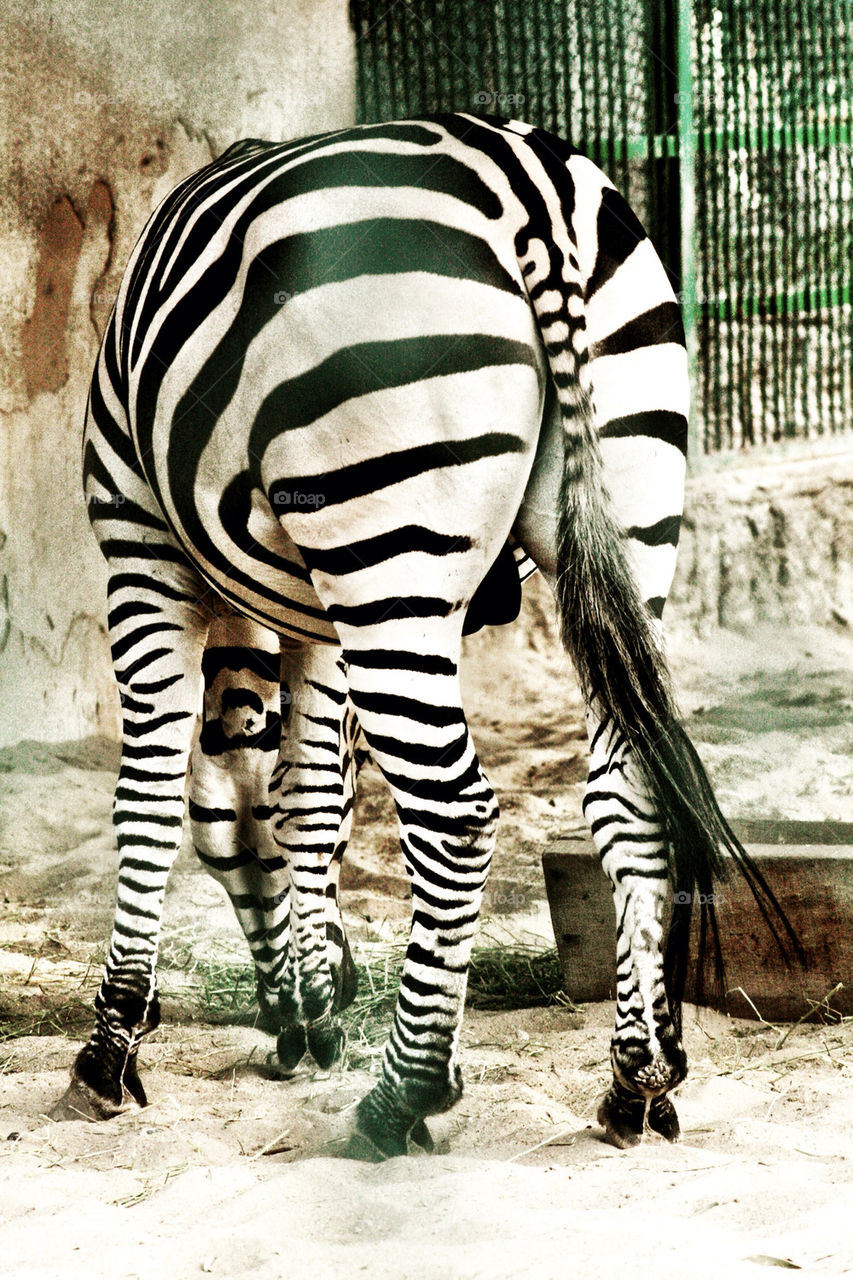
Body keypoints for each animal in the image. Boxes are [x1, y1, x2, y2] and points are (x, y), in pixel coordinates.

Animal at [53, 113, 798, 1157]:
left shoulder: (142, 549)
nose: (296, 1022)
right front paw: (315, 1000)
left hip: (385, 540)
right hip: (627, 497)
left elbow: (162, 800)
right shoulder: (313, 618)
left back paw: (403, 1095)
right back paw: (635, 1078)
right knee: (631, 787)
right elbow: (308, 797)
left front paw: (113, 1045)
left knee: (454, 810)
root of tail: (523, 187)